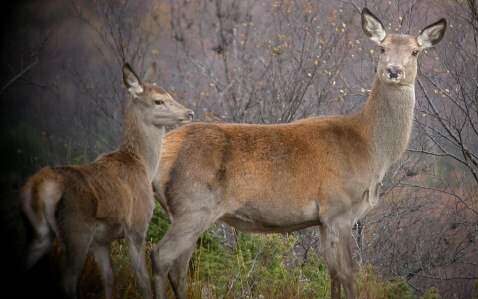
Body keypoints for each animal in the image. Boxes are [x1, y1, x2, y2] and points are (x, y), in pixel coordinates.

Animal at [22, 63, 194, 299]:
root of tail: (41, 186)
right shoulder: (136, 226)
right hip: (76, 230)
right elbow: (142, 282)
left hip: (39, 232)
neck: (143, 165)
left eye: (170, 95)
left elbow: (109, 279)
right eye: (158, 100)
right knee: (67, 281)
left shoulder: (101, 241)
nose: (189, 113)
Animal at [151, 7, 446, 299]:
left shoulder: (323, 219)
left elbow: (333, 275)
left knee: (179, 267)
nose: (393, 70)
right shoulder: (339, 209)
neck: (371, 149)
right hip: (193, 205)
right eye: (382, 48)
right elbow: (349, 275)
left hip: (184, 211)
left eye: (415, 51)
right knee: (160, 256)